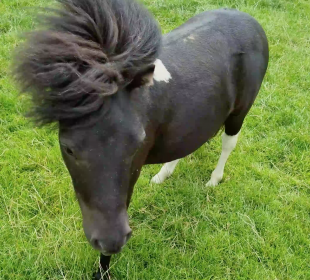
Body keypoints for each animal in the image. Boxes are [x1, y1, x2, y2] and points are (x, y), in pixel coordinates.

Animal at [13, 0, 268, 278]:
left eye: (137, 144)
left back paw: (214, 180)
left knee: (228, 144)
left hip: (239, 113)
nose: (111, 241)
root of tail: (250, 21)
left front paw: (103, 271)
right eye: (68, 149)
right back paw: (163, 174)